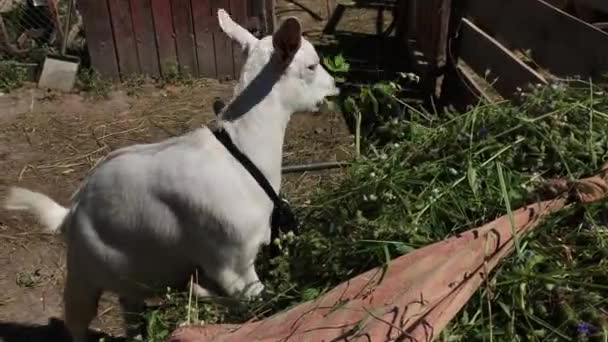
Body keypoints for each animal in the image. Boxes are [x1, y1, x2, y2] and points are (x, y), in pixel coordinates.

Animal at [2, 8, 340, 342]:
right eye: (311, 65)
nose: (335, 85)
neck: (241, 153)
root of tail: (69, 213)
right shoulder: (233, 264)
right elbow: (258, 303)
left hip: (128, 276)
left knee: (129, 310)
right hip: (83, 273)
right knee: (77, 321)